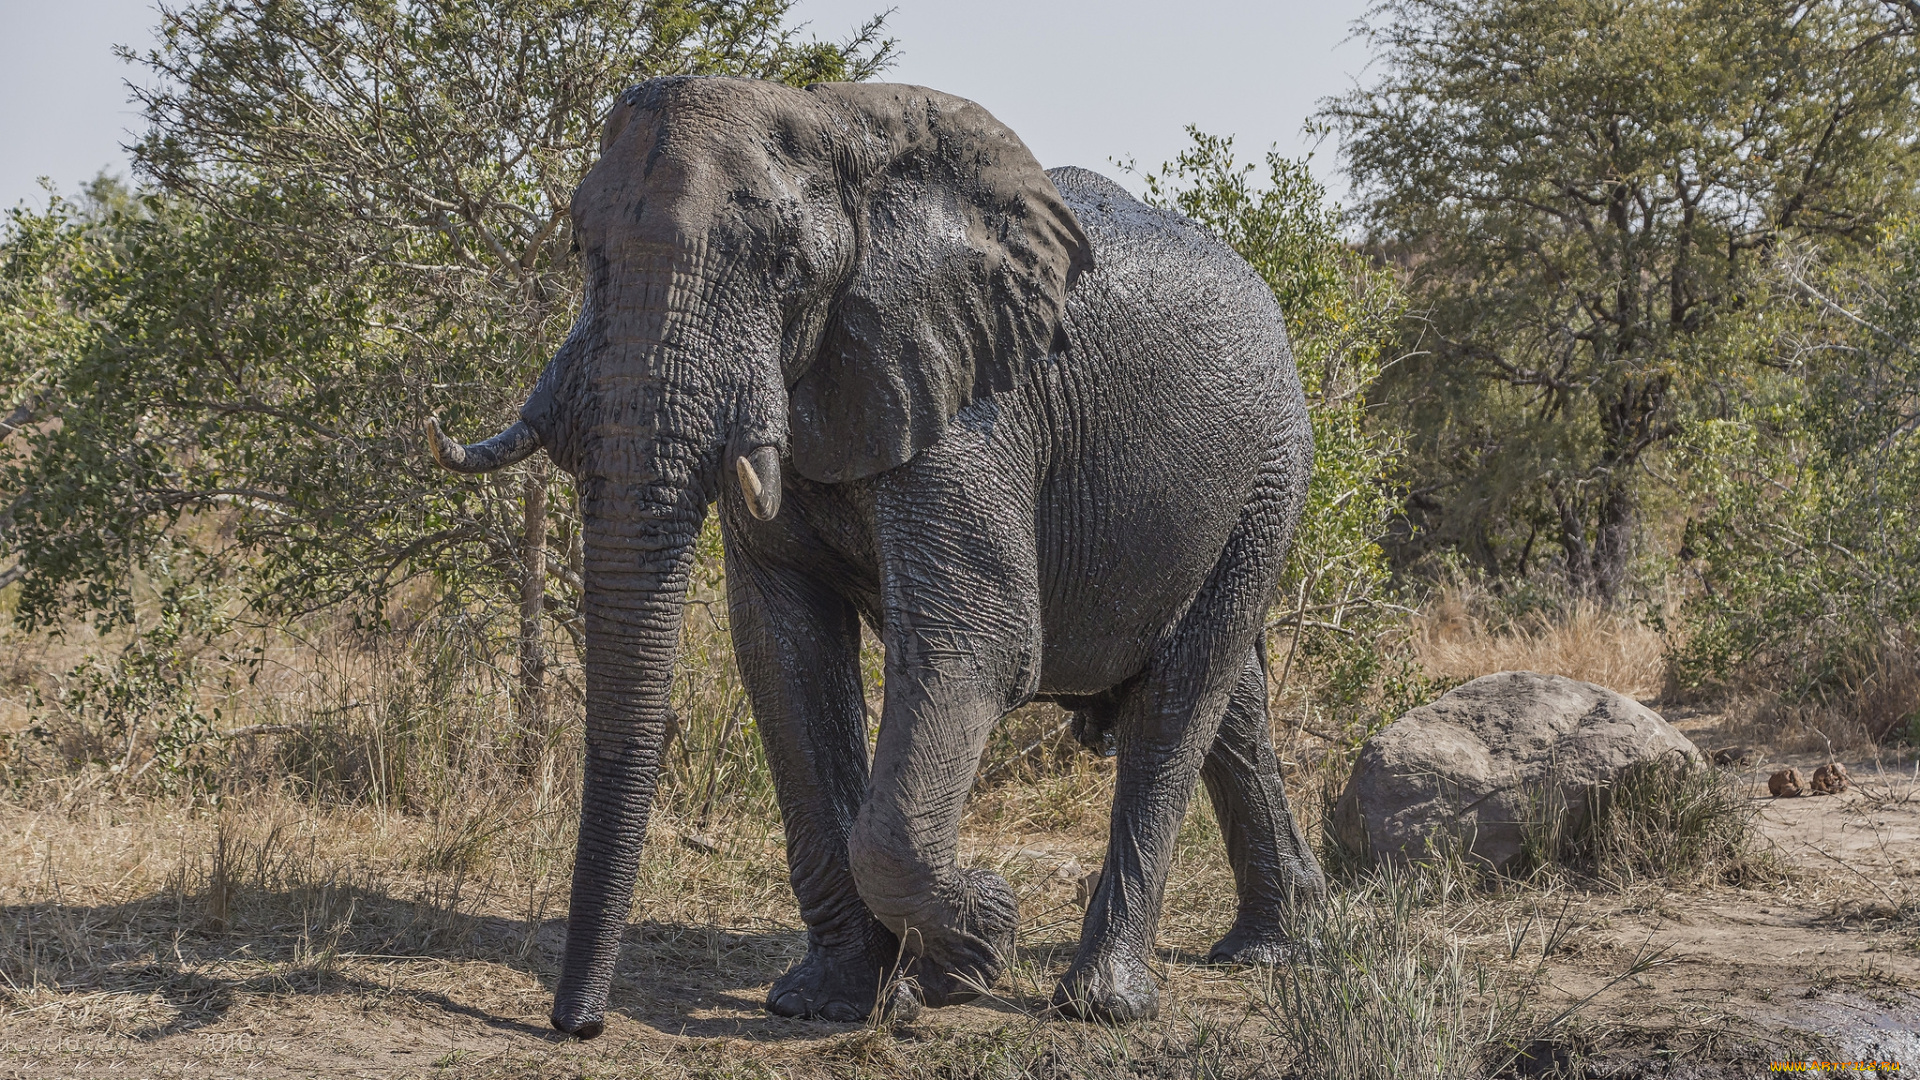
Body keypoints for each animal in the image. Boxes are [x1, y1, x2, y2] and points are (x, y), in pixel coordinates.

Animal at [428, 75, 1328, 1037]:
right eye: (579, 247)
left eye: (785, 269)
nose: (577, 1023)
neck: (838, 131)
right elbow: (784, 653)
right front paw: (828, 999)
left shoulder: (973, 410)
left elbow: (978, 648)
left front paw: (971, 950)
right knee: (1232, 703)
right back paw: (1272, 946)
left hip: (1269, 476)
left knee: (1176, 704)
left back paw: (1102, 1004)